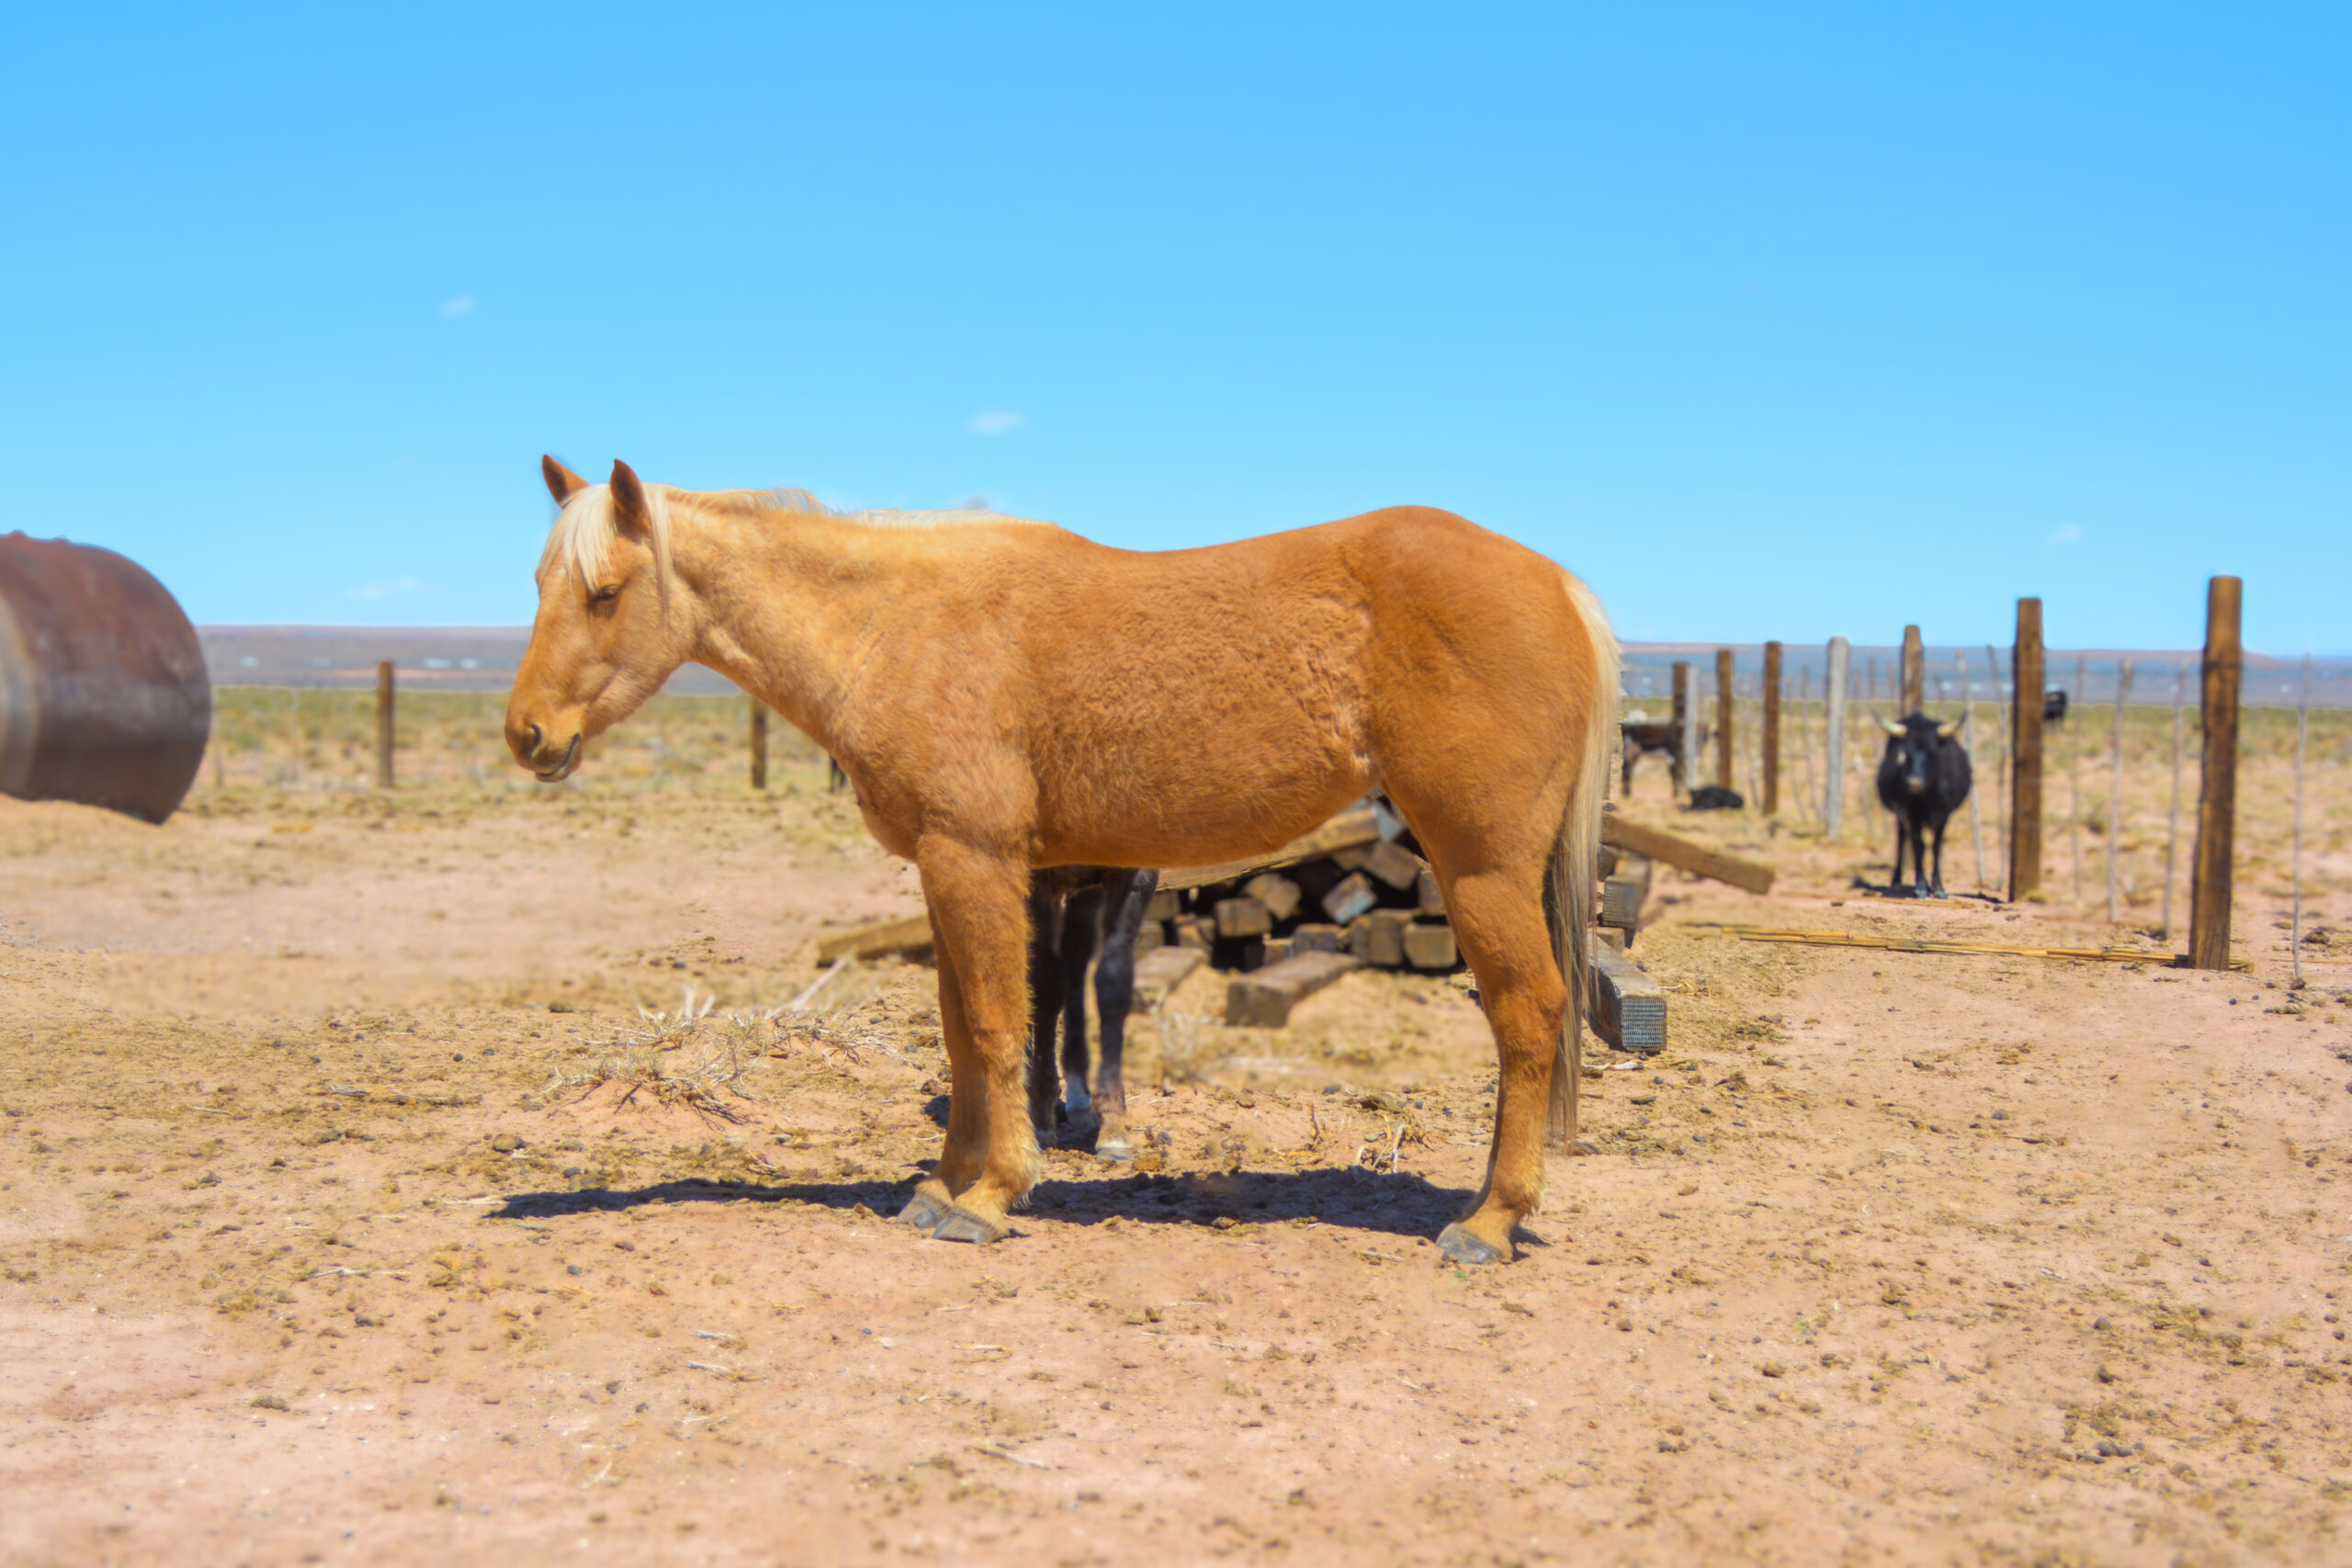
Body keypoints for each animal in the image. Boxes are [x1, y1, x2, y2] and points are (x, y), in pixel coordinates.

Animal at [1025, 866, 1158, 1162]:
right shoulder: (1037, 881)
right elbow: (1046, 983)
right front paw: (1041, 1122)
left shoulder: (1133, 879)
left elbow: (1111, 982)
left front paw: (1114, 1131)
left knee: (1076, 954)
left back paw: (1079, 1099)